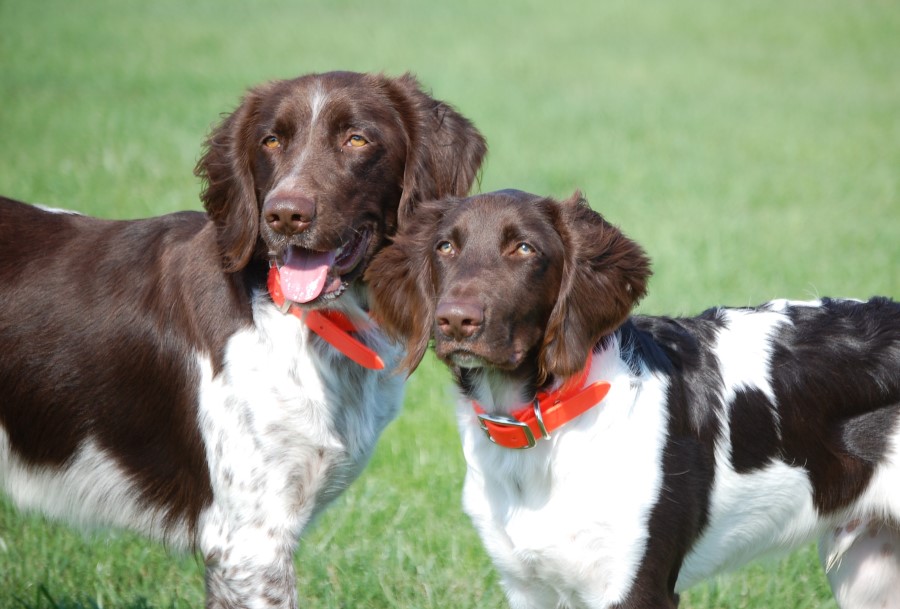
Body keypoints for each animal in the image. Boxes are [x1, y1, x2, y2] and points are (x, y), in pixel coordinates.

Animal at [366, 188, 900, 604]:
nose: (455, 320)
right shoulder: (527, 587)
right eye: (445, 247)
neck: (545, 423)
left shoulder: (634, 586)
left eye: (524, 248)